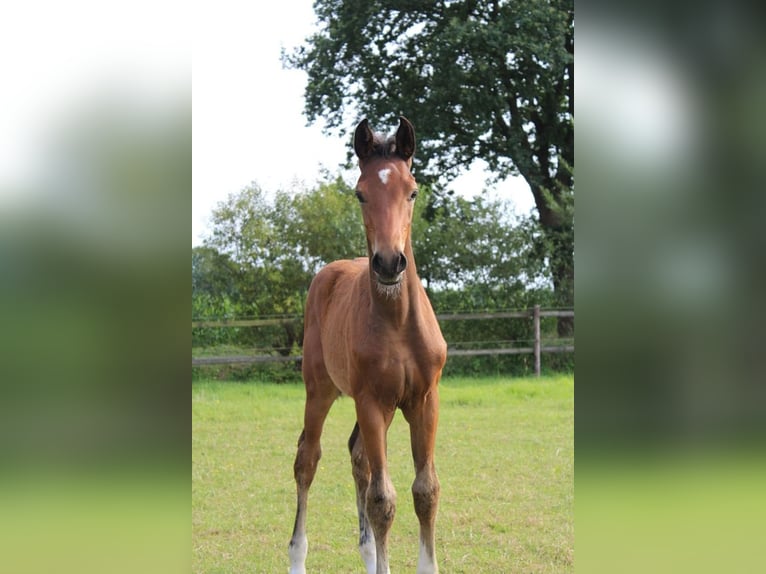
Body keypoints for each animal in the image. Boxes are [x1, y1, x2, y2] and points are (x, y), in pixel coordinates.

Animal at [290, 118, 450, 574]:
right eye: (360, 192)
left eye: (412, 190)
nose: (389, 263)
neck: (397, 323)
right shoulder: (371, 401)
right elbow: (383, 500)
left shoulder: (423, 400)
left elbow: (425, 491)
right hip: (320, 389)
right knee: (308, 459)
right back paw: (296, 556)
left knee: (358, 456)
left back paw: (368, 555)